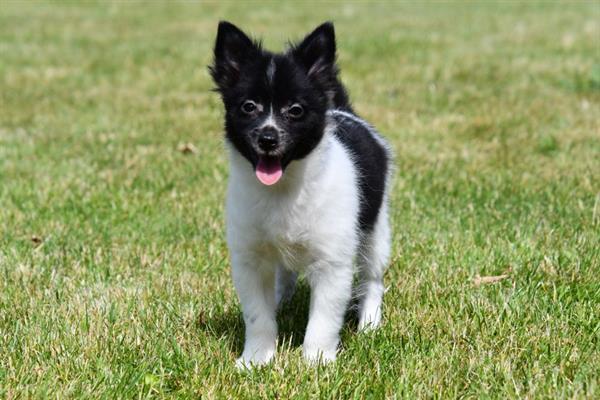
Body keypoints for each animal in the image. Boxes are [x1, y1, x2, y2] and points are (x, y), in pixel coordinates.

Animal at [211, 21, 394, 366]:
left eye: (295, 110)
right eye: (248, 107)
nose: (268, 138)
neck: (284, 190)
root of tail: (343, 111)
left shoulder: (332, 263)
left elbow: (323, 319)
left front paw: (316, 362)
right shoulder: (250, 259)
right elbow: (257, 315)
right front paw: (256, 359)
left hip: (375, 230)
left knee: (372, 278)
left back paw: (370, 323)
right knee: (285, 275)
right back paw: (281, 301)